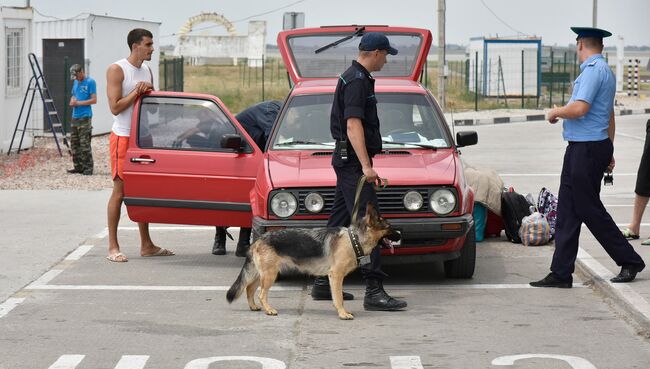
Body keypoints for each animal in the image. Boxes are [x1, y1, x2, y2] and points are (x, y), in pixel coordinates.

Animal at [228, 203, 400, 318]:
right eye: (389, 227)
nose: (399, 234)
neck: (354, 239)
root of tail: (258, 240)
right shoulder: (336, 276)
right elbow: (339, 297)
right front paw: (342, 313)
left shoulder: (334, 277)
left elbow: (337, 296)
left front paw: (341, 310)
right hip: (269, 275)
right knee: (261, 294)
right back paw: (268, 309)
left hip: (261, 274)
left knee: (249, 288)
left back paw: (254, 307)